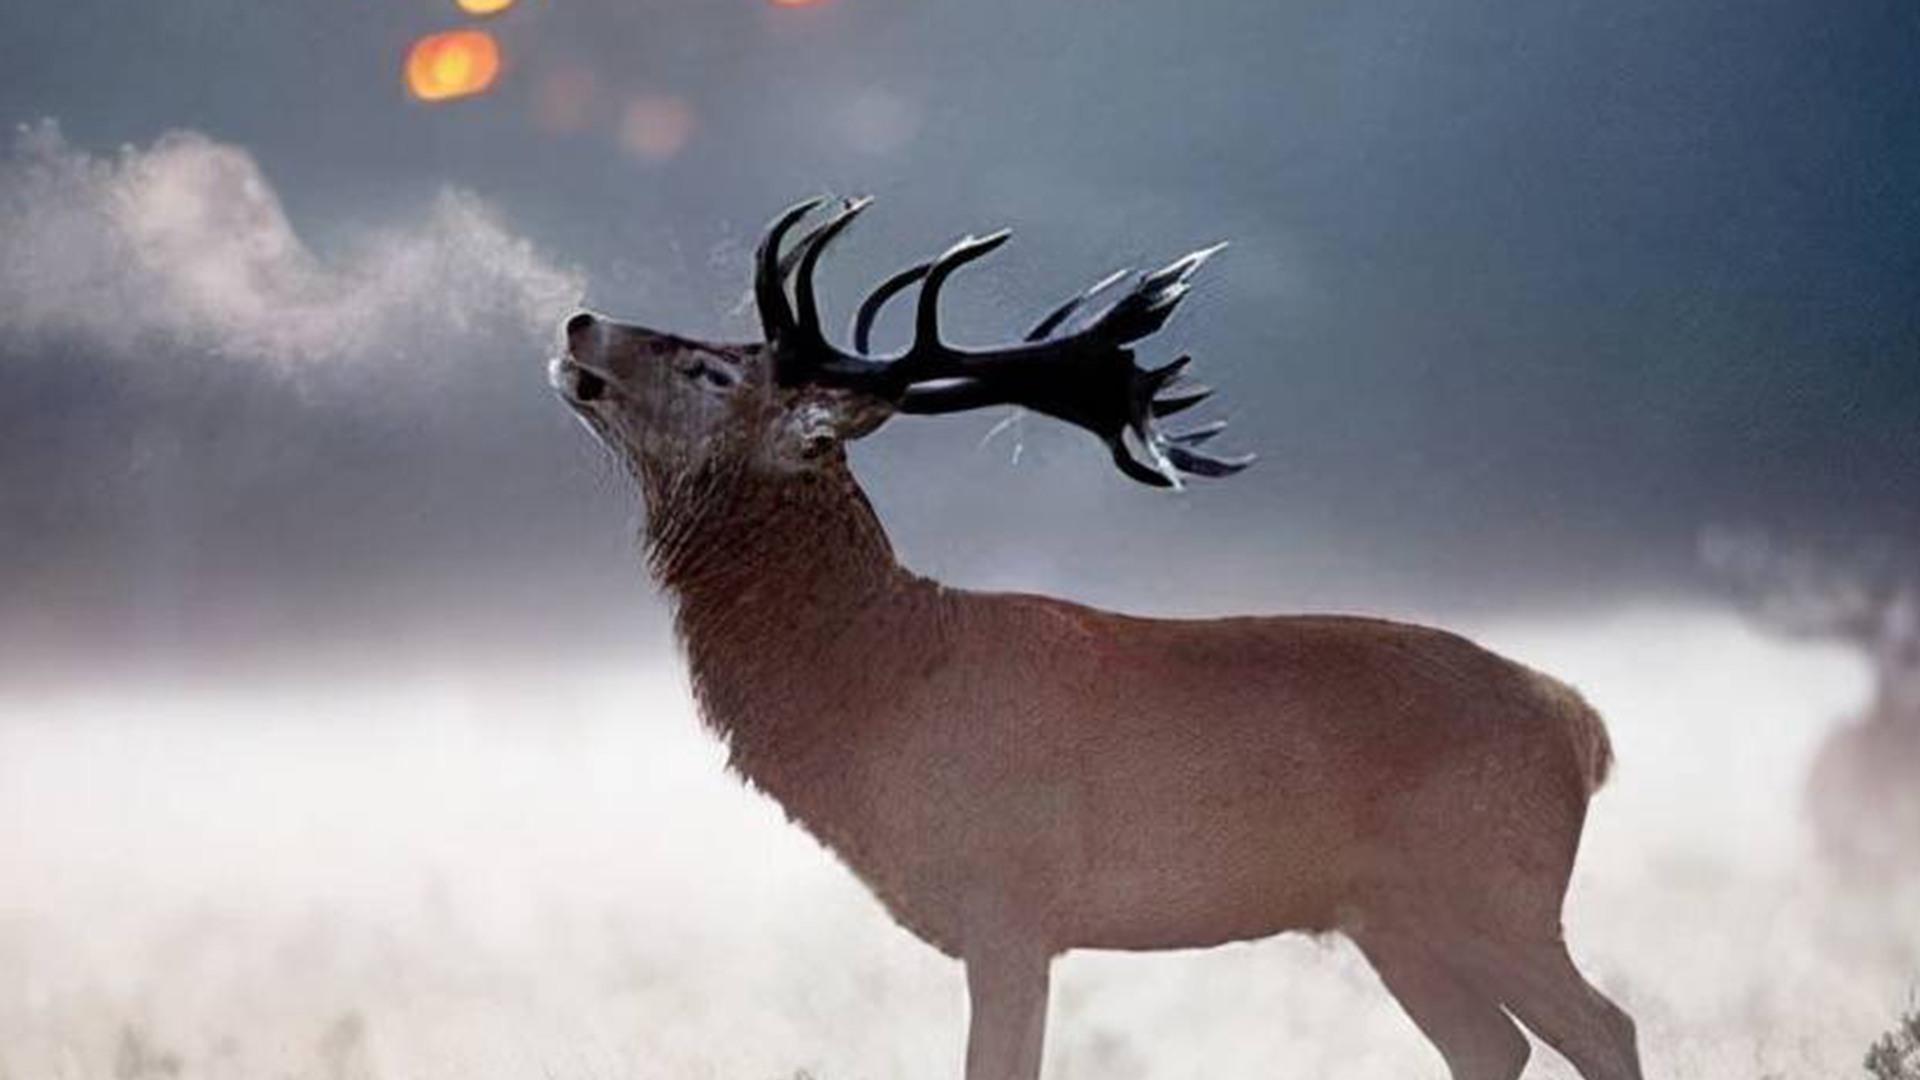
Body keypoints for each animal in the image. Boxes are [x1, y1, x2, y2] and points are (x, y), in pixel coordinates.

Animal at [549, 195, 1643, 1076]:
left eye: (712, 369)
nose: (579, 321)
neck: (881, 685)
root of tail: (1580, 725)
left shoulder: (1010, 900)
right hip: (1394, 916)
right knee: (1490, 1046)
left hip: (1494, 885)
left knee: (1605, 1026)